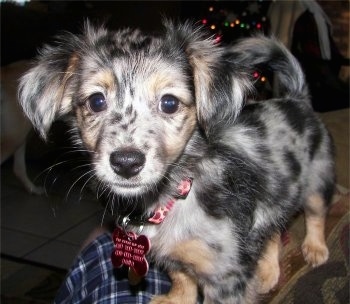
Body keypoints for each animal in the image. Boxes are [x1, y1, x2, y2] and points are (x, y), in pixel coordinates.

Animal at [17, 20, 334, 302]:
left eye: (169, 103)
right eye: (96, 101)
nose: (126, 162)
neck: (171, 197)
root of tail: (297, 100)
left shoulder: (225, 277)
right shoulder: (174, 256)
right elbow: (182, 278)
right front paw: (176, 298)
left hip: (318, 181)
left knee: (316, 214)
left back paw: (315, 248)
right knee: (273, 230)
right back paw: (268, 271)